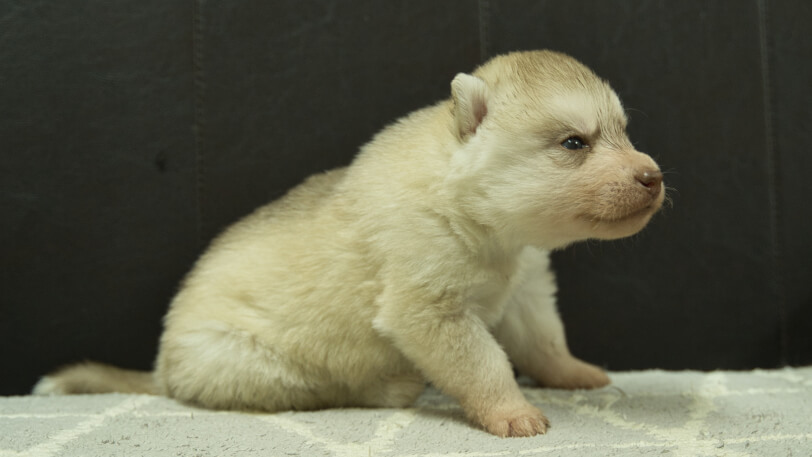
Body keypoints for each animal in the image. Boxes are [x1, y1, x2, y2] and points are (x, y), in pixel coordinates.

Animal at [35, 48, 664, 436]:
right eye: (574, 143)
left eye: (623, 132)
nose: (654, 176)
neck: (481, 219)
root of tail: (161, 373)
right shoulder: (428, 312)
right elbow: (485, 365)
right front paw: (511, 411)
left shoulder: (527, 291)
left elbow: (544, 341)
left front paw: (573, 372)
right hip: (258, 366)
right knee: (328, 391)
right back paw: (392, 386)